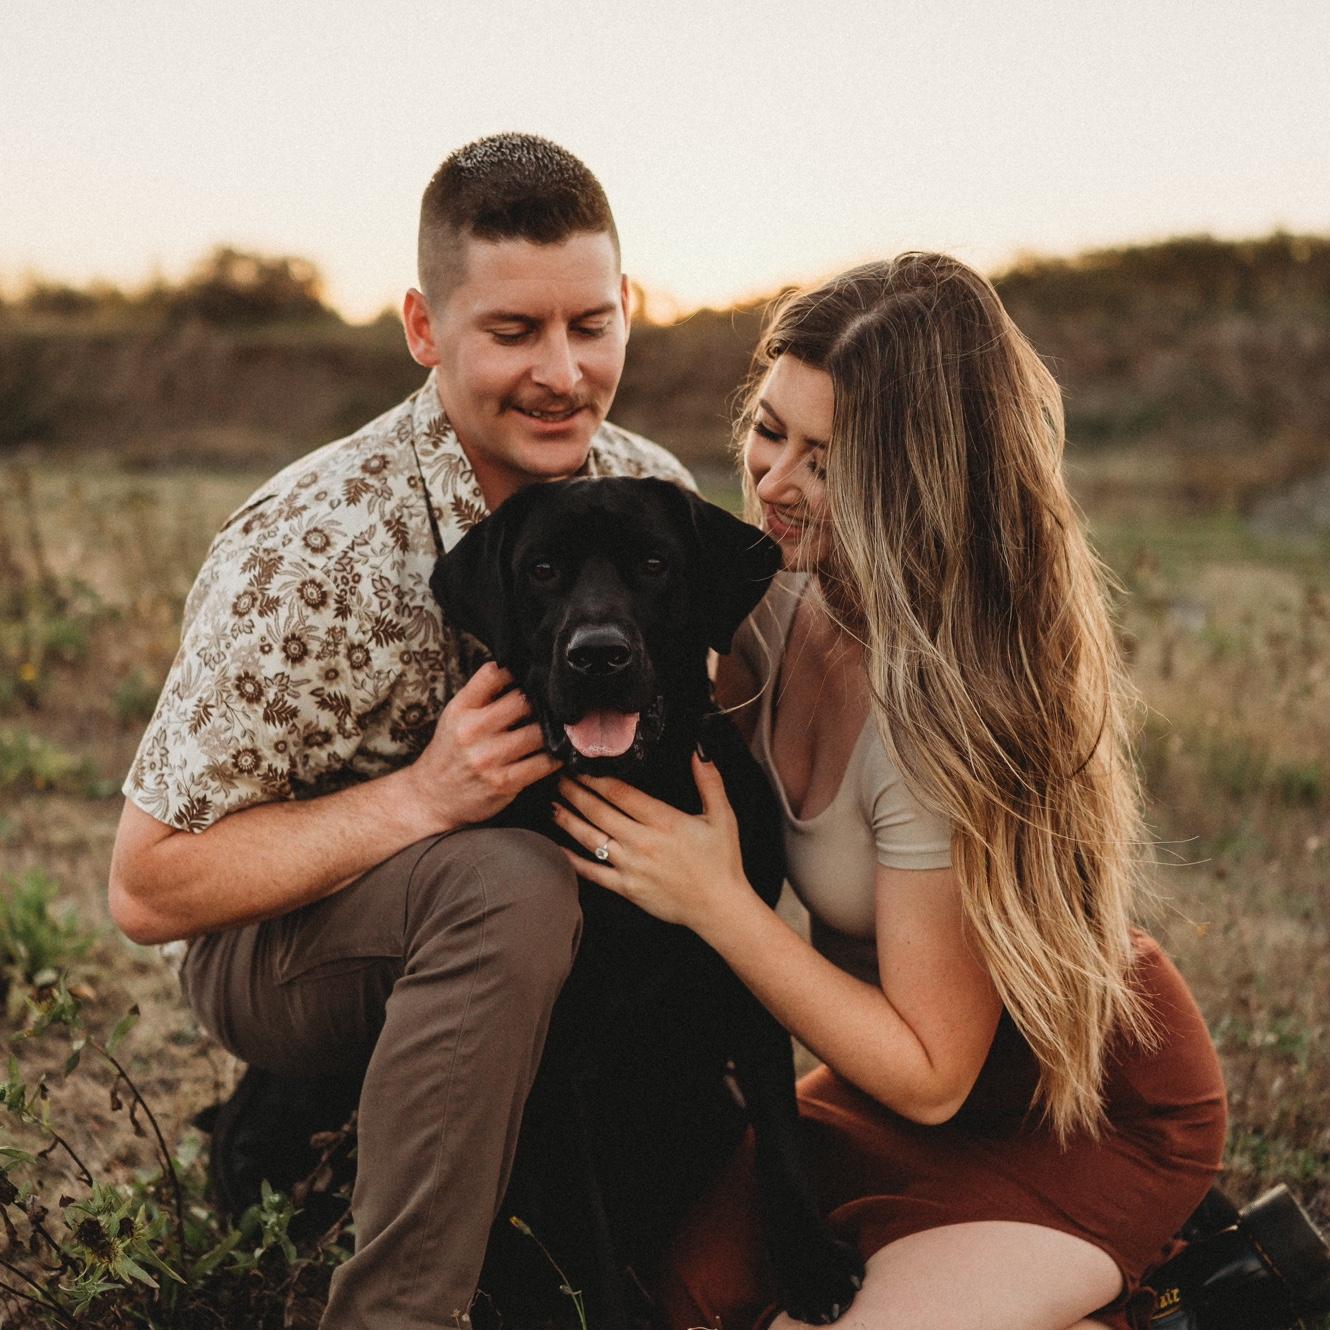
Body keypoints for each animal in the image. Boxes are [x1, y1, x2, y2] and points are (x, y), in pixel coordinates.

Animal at [431, 476, 865, 1327]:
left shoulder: (749, 973)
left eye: (656, 564)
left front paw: (809, 1262)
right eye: (542, 570)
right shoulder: (560, 1055)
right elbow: (587, 1225)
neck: (641, 784)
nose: (598, 655)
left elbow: (782, 1134)